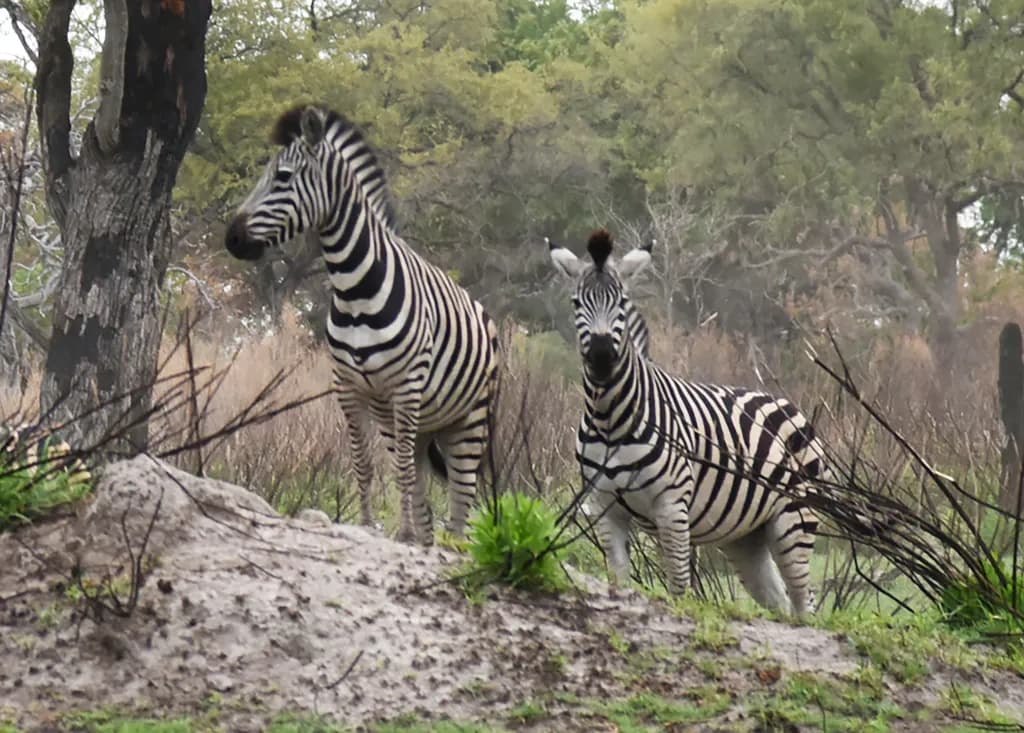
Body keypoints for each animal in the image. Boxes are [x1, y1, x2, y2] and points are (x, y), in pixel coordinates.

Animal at [224, 104, 500, 546]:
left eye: (282, 177)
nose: (231, 239)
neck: (354, 289)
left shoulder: (406, 387)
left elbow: (401, 469)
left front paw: (401, 532)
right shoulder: (349, 389)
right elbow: (365, 464)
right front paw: (371, 526)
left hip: (469, 420)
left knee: (461, 495)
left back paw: (451, 543)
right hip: (421, 421)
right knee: (423, 479)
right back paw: (425, 538)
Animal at [548, 228, 822, 617]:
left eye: (621, 303)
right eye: (576, 303)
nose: (601, 359)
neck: (609, 418)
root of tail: (789, 405)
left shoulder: (671, 505)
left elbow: (679, 587)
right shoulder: (604, 507)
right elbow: (619, 580)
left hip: (793, 520)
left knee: (804, 604)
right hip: (745, 536)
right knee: (779, 604)